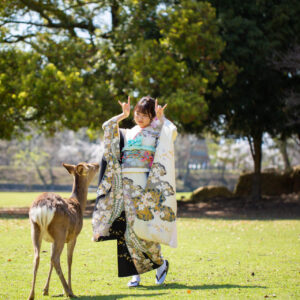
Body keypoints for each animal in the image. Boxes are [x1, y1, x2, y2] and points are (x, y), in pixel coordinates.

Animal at [27, 162, 99, 300]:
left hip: (35, 229)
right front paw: (69, 289)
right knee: (55, 259)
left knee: (38, 257)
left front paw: (45, 290)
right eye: (89, 166)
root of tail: (42, 208)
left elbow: (50, 261)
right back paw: (68, 291)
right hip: (60, 232)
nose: (98, 164)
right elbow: (69, 260)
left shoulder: (51, 240)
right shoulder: (74, 236)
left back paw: (31, 295)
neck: (79, 204)